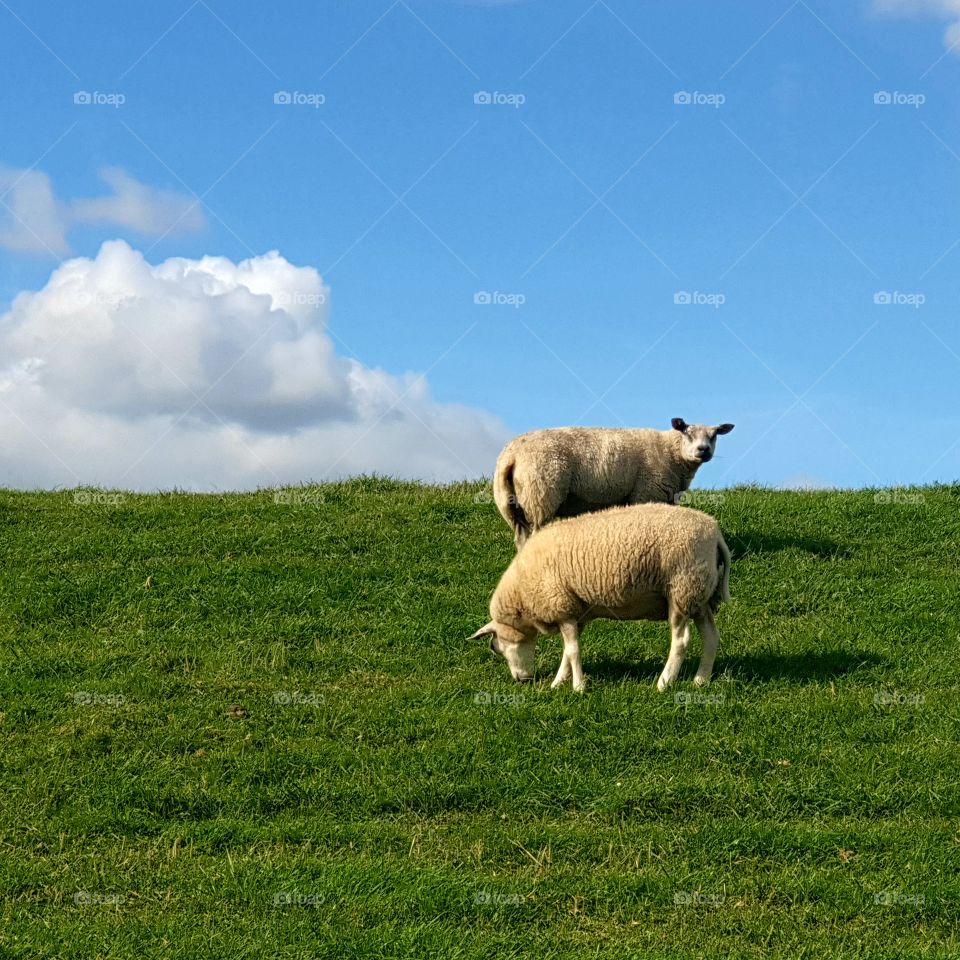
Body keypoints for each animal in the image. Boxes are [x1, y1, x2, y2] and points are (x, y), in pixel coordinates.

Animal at [469, 502, 731, 693]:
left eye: (495, 647)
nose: (521, 680)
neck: (523, 600)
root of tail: (714, 532)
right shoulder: (574, 612)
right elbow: (567, 651)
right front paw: (558, 683)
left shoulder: (561, 606)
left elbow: (573, 651)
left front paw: (578, 687)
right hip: (700, 595)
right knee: (711, 636)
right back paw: (701, 679)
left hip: (681, 590)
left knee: (681, 641)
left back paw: (663, 683)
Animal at [493, 418, 734, 549]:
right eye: (687, 432)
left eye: (714, 435)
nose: (704, 450)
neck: (670, 452)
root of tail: (512, 454)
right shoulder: (646, 493)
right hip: (542, 494)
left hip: (509, 504)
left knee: (521, 538)